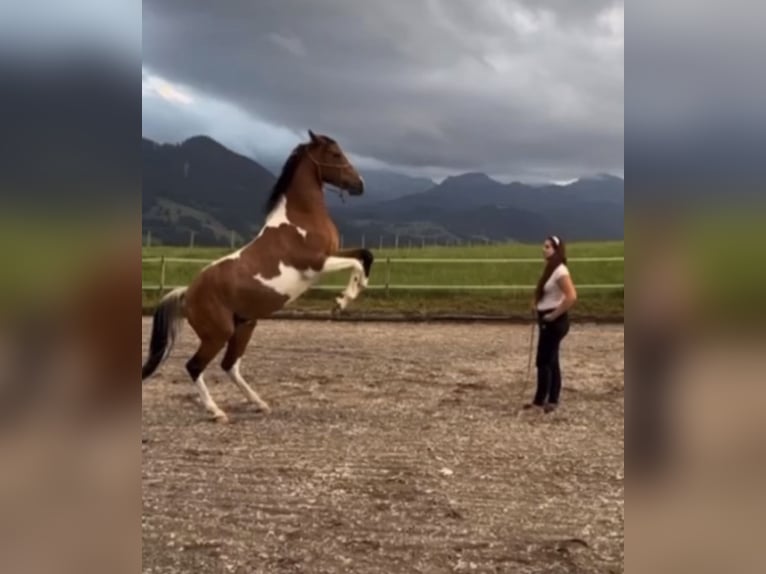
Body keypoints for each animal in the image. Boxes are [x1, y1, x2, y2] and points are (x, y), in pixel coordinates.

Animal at [141, 130, 374, 423]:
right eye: (335, 154)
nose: (360, 184)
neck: (300, 218)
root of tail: (187, 293)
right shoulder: (317, 263)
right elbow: (356, 263)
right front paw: (343, 300)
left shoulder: (332, 253)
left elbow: (365, 255)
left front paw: (352, 293)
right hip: (218, 334)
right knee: (195, 366)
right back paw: (216, 412)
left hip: (244, 327)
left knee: (229, 365)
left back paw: (259, 403)